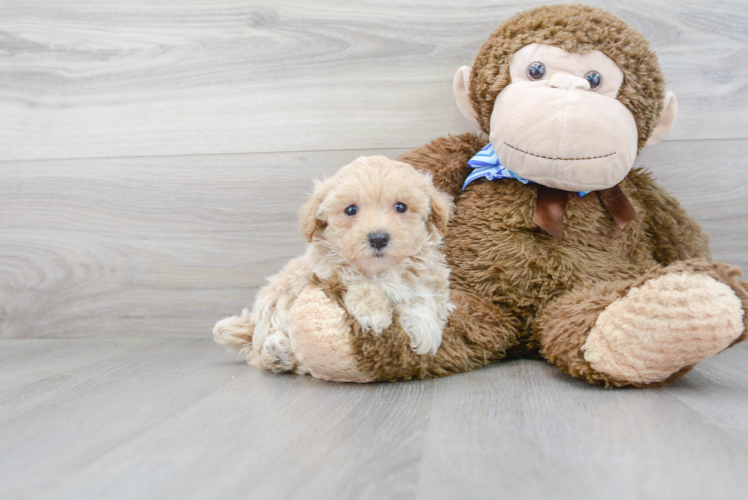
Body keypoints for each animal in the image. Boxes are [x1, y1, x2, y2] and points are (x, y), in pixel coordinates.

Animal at [212, 154, 456, 374]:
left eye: (401, 207)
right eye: (350, 210)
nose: (378, 238)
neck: (382, 270)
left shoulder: (431, 279)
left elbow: (423, 298)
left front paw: (425, 328)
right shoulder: (325, 270)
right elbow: (355, 278)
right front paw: (373, 312)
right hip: (274, 304)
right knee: (258, 353)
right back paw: (278, 354)